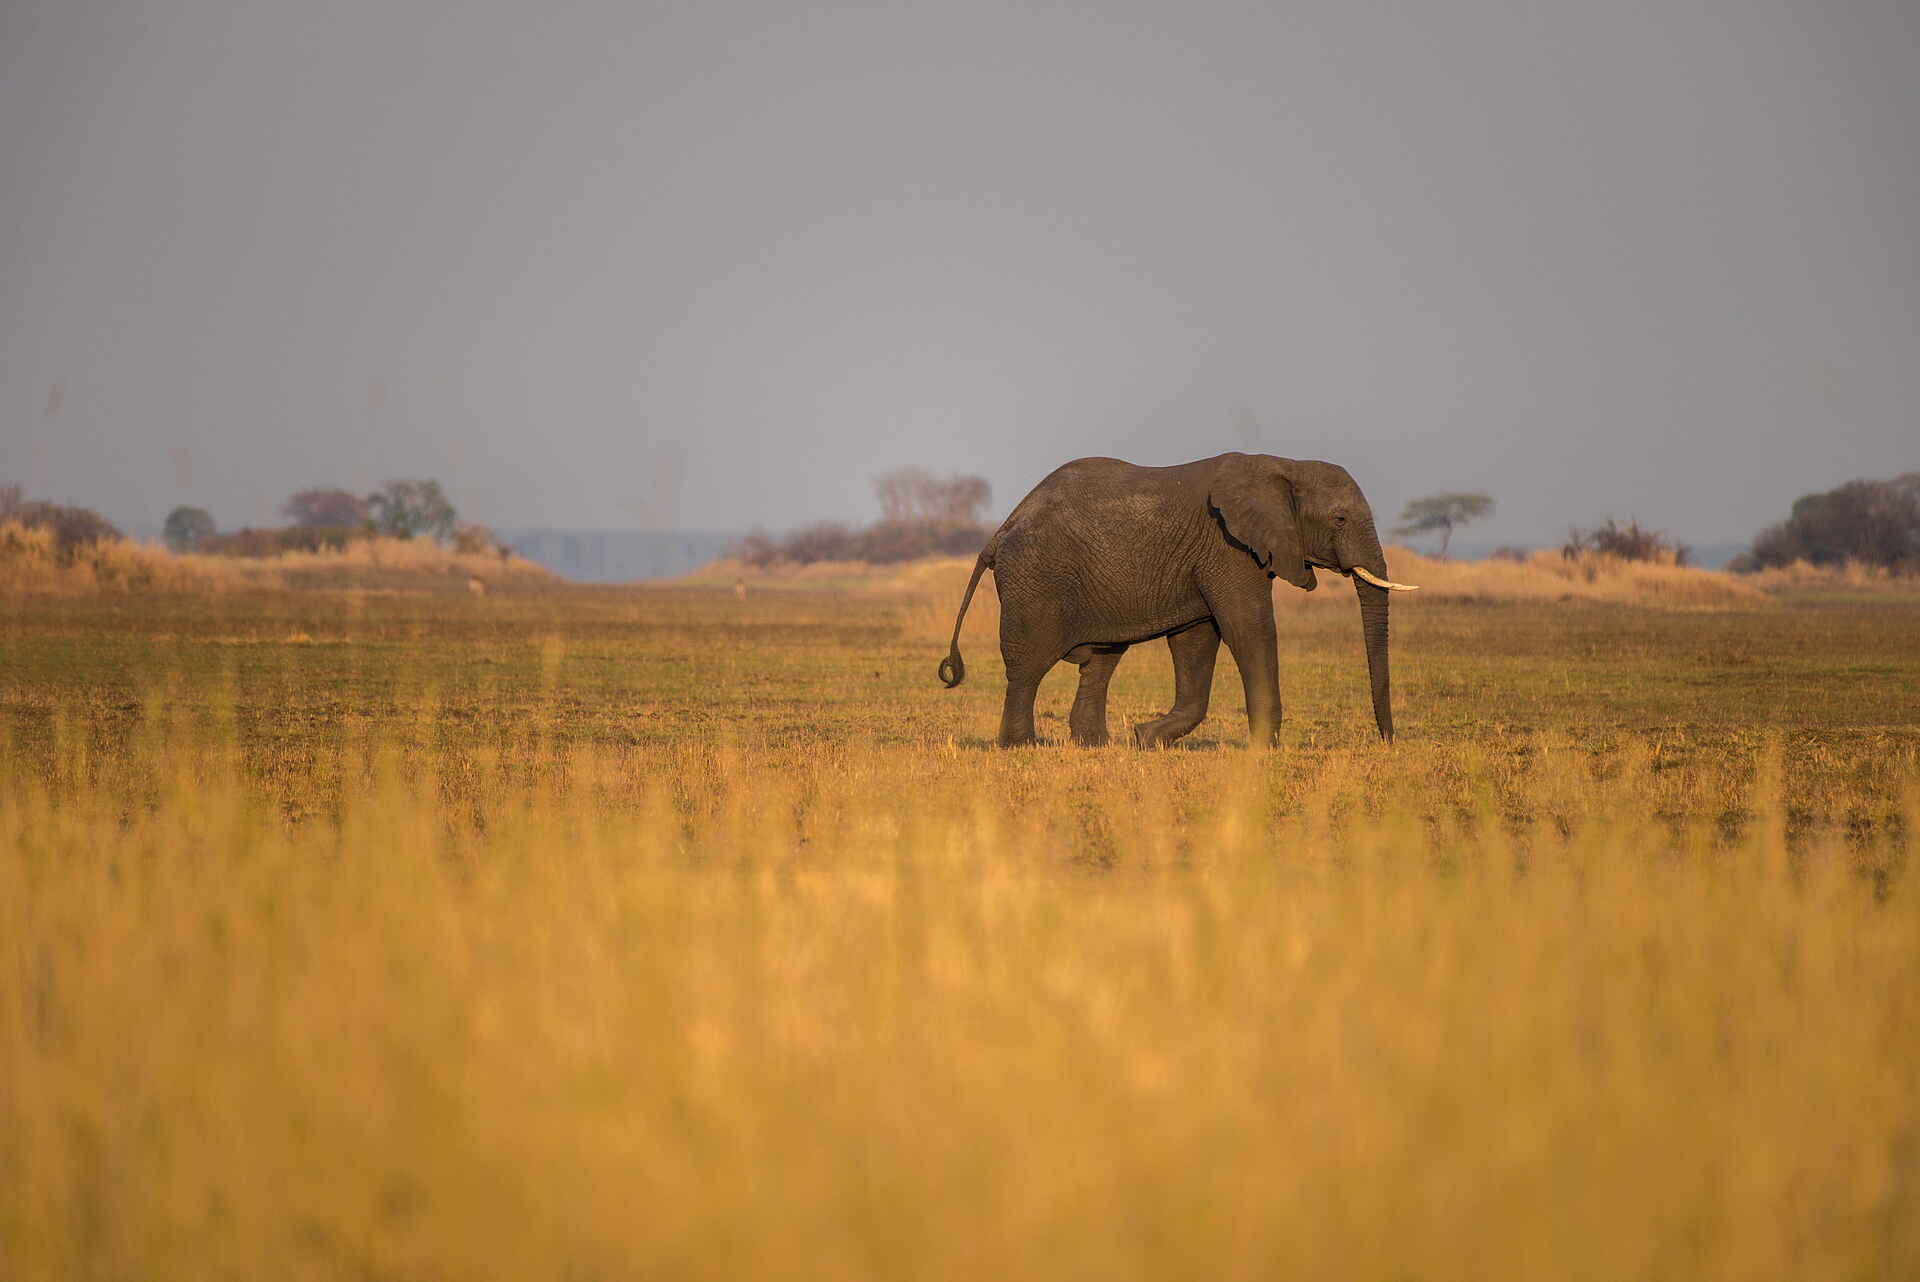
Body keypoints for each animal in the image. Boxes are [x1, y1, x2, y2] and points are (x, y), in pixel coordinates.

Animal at [937, 452, 1417, 748]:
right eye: (1340, 519)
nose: (1387, 739)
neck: (1283, 464)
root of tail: (1000, 531)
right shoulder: (1227, 547)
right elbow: (1248, 627)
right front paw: (1263, 750)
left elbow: (1196, 640)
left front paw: (1145, 739)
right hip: (1034, 582)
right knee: (1027, 667)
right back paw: (1021, 746)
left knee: (1102, 661)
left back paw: (1096, 745)